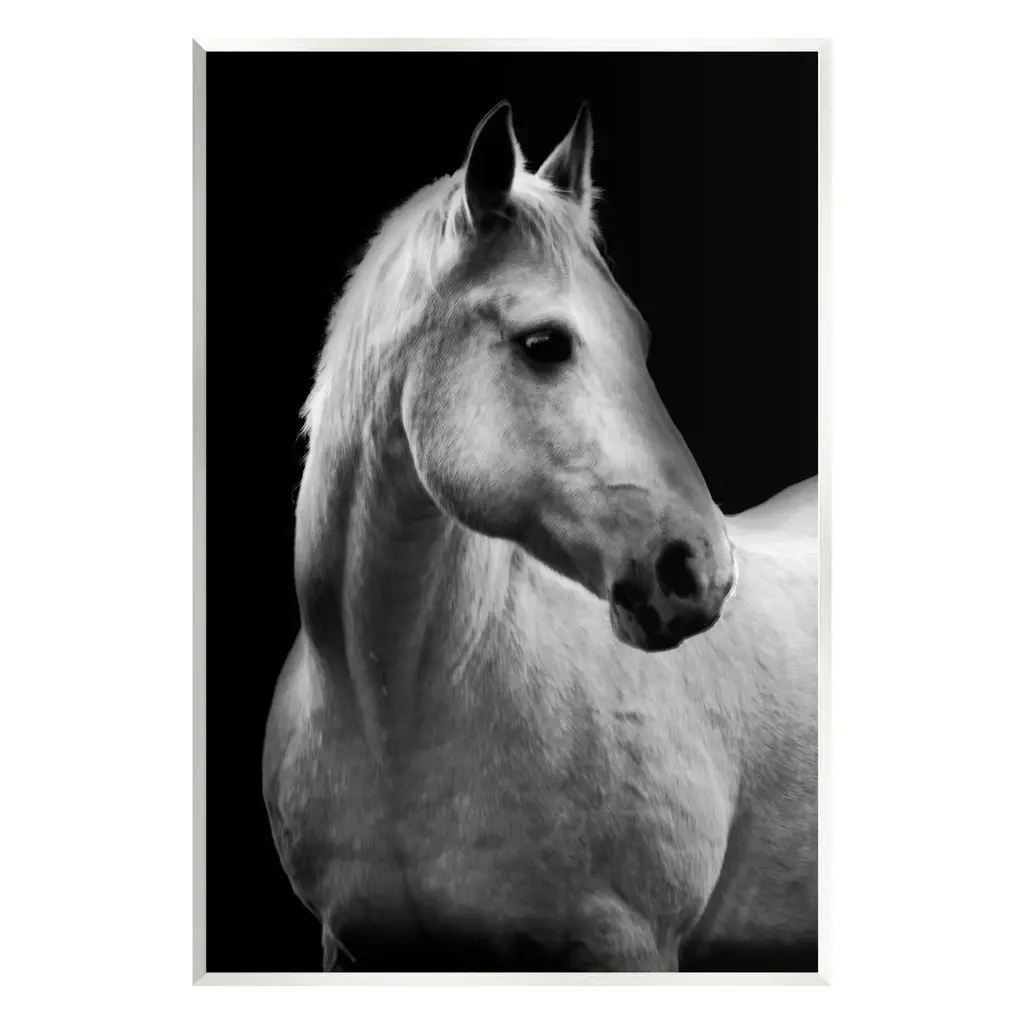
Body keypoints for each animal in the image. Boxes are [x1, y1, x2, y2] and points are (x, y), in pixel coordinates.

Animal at [262, 101, 818, 972]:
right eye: (545, 344)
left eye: (638, 338)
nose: (699, 571)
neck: (394, 714)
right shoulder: (349, 945)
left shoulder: (628, 949)